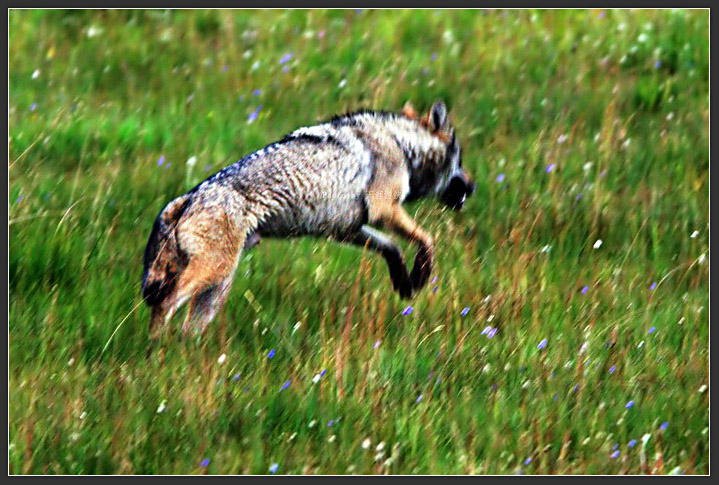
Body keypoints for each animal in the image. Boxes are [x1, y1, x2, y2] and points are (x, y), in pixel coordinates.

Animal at [143, 99, 476, 334]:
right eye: (461, 160)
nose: (473, 187)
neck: (399, 143)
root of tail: (187, 198)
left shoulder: (348, 229)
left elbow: (392, 248)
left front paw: (405, 284)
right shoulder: (384, 210)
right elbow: (427, 240)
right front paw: (421, 275)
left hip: (217, 287)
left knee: (186, 328)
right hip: (214, 272)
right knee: (164, 306)